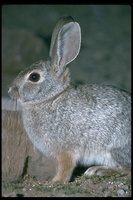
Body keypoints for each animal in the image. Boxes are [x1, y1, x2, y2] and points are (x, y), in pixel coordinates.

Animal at [8, 15, 131, 181]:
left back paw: (98, 170)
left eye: (34, 77)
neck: (50, 99)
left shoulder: (65, 150)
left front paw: (56, 181)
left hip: (116, 148)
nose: (10, 90)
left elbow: (65, 167)